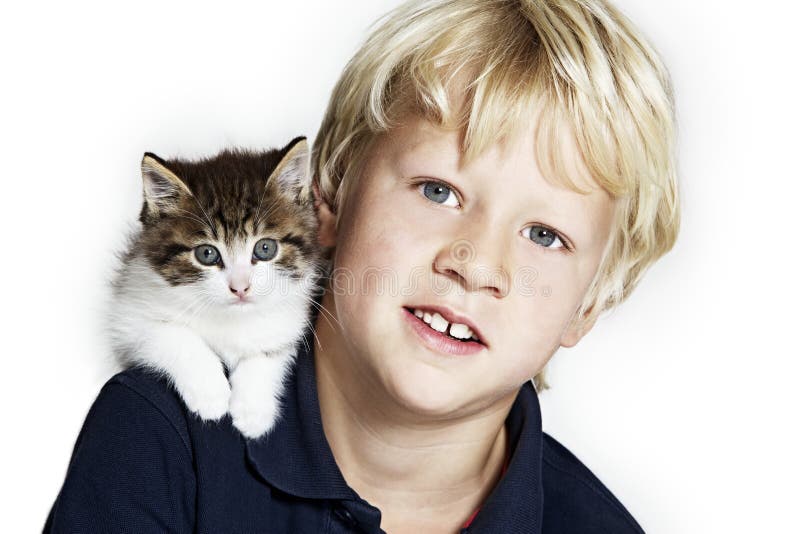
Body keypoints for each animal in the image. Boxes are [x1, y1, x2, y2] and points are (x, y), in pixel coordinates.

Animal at [107, 137, 324, 440]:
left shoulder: (290, 318)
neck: (231, 318)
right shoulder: (129, 313)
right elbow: (171, 333)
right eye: (207, 254)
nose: (240, 287)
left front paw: (253, 409)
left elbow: (271, 348)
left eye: (265, 248)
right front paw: (210, 393)